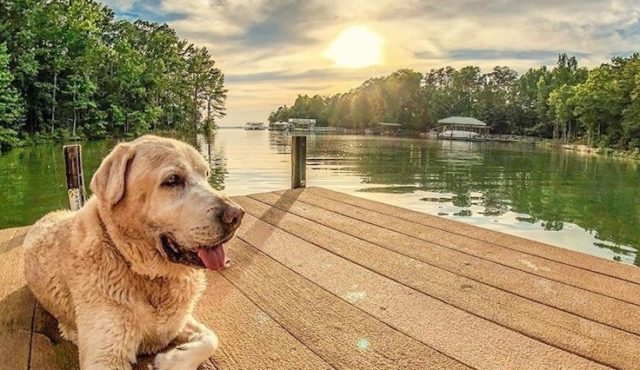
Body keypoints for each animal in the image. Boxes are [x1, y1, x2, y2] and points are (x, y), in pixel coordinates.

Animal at [21, 136, 242, 370]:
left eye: (206, 175)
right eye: (172, 180)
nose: (237, 215)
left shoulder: (178, 321)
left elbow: (211, 338)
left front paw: (170, 360)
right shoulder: (105, 355)